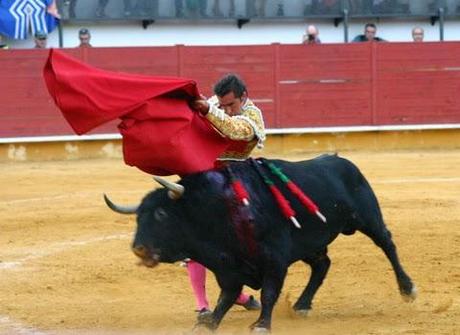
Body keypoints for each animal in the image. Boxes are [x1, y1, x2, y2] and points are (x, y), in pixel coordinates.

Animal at [105, 154, 416, 330]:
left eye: (160, 214)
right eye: (138, 217)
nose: (138, 248)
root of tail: (342, 161)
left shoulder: (274, 259)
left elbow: (268, 292)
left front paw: (262, 324)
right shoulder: (227, 266)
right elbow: (226, 297)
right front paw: (209, 322)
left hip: (367, 218)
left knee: (388, 245)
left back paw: (407, 288)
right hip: (309, 243)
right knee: (322, 264)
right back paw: (302, 305)